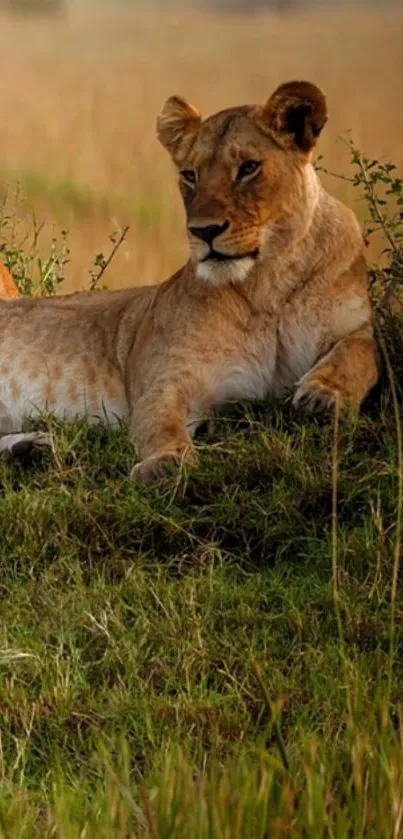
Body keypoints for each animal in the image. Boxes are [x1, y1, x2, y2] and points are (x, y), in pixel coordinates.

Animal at [0, 83, 380, 486]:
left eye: (248, 168)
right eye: (190, 175)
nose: (204, 231)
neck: (267, 284)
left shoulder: (354, 326)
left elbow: (360, 354)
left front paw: (323, 397)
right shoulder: (168, 378)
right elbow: (160, 421)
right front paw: (166, 463)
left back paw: (29, 449)